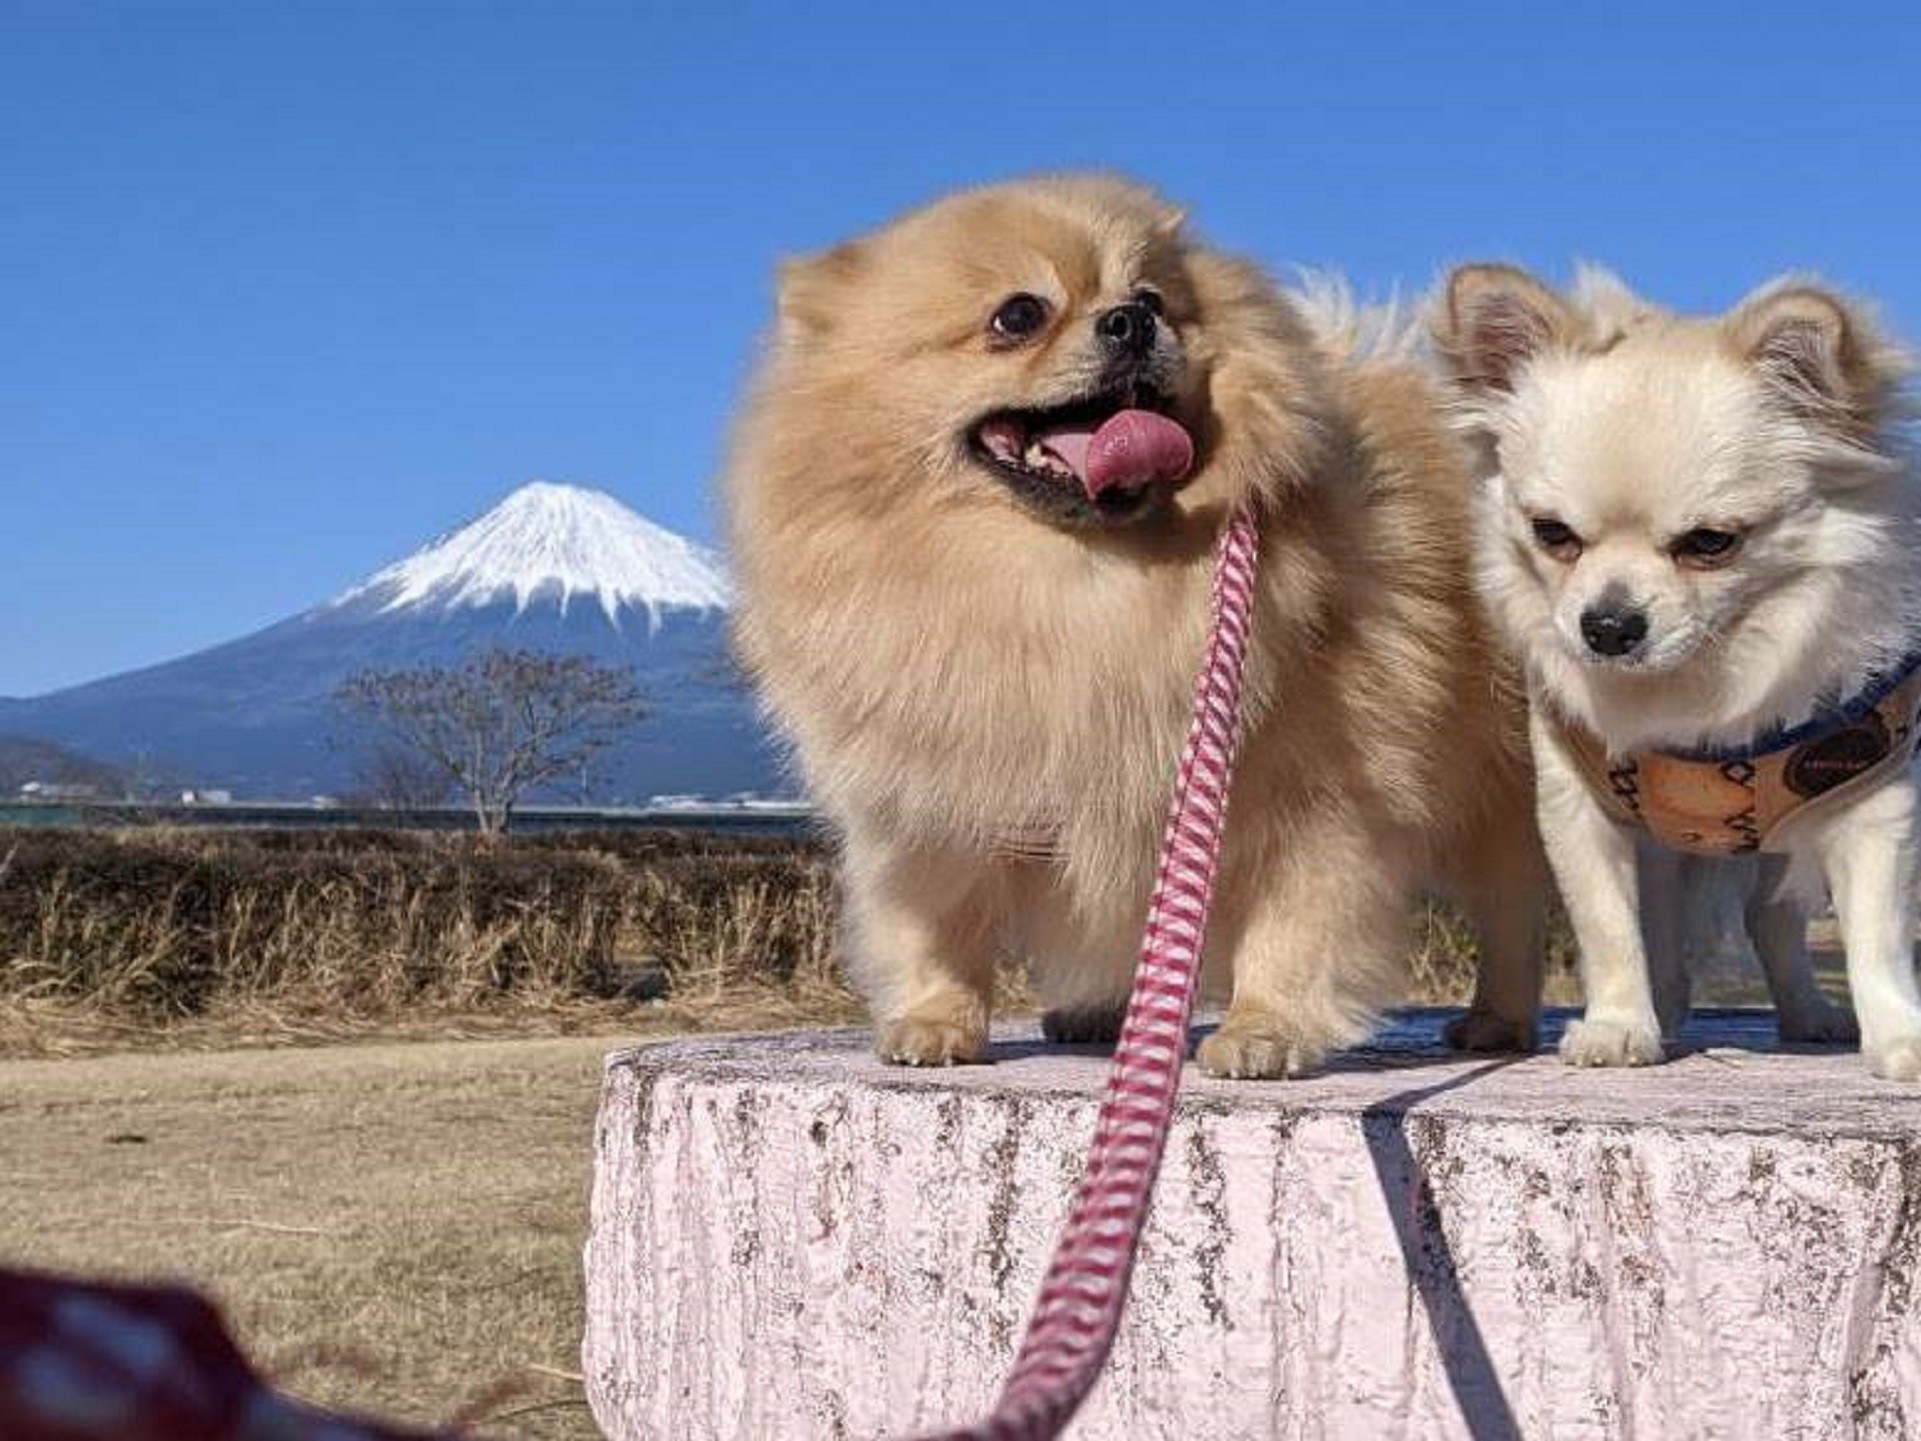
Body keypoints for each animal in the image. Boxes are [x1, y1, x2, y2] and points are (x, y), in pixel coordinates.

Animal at [726, 174, 1536, 1075]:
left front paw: (1263, 1028)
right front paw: (938, 1020)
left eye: (1151, 298)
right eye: (1018, 314)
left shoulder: (1318, 798)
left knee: (1511, 912)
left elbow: (1292, 927)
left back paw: (1497, 1019)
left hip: (1497, 791)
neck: (1075, 586)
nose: (1129, 320)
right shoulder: (927, 807)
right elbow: (938, 928)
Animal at [1444, 265, 1921, 1083]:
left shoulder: (1870, 800)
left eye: (1709, 543)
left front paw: (1898, 1035)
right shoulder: (1581, 810)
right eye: (1553, 534)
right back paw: (1662, 1015)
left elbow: (1877, 940)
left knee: (1770, 920)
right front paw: (1617, 1026)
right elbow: (1609, 928)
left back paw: (1808, 1013)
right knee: (1669, 933)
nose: (1606, 626)